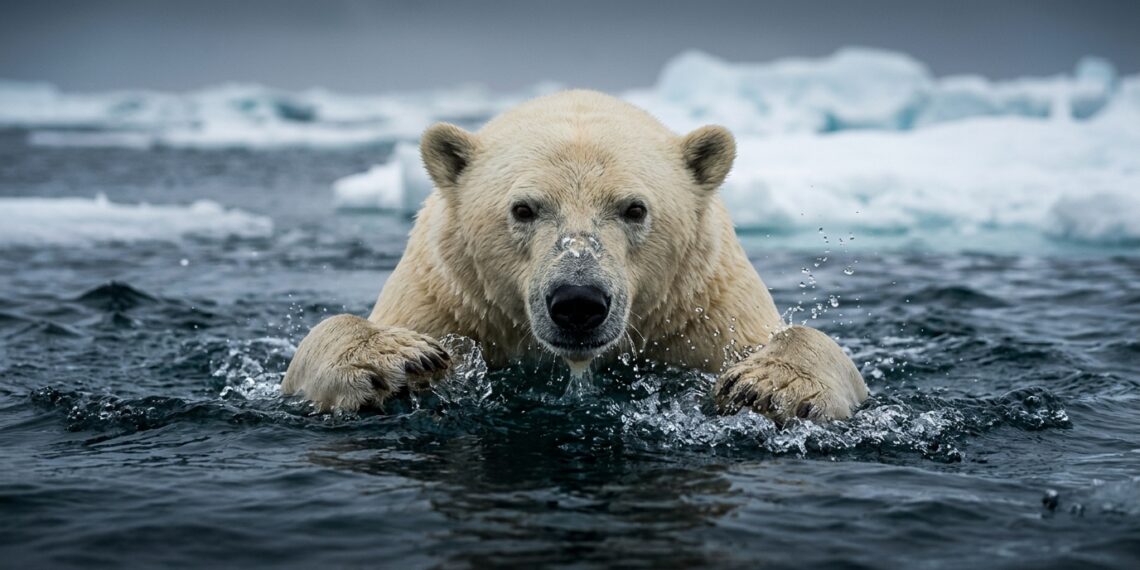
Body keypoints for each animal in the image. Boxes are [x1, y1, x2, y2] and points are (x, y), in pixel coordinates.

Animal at [283, 90, 868, 423]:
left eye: (634, 208)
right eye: (523, 208)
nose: (579, 302)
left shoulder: (700, 308)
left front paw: (770, 385)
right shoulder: (451, 300)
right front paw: (394, 359)